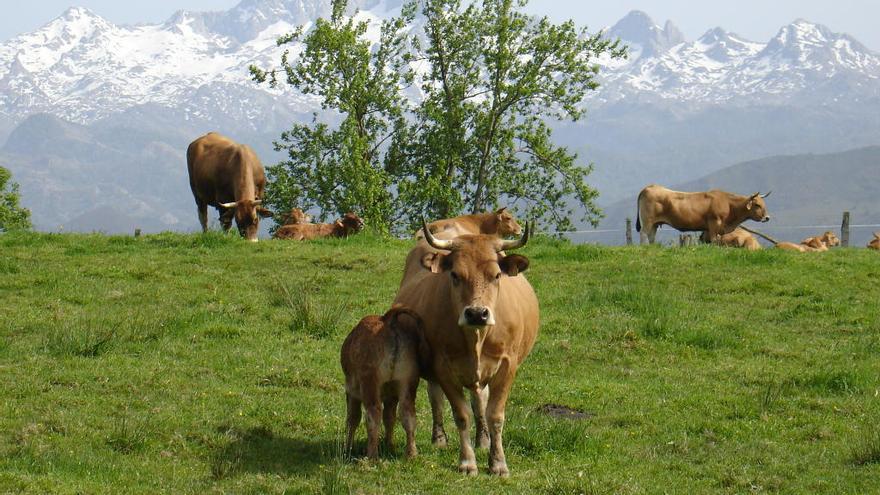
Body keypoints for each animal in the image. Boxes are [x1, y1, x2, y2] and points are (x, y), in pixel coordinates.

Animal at [342, 306, 428, 462]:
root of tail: (387, 320)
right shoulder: (391, 396)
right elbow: (390, 417)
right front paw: (389, 445)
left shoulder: (351, 392)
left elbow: (353, 418)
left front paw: (348, 448)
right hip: (407, 383)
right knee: (408, 415)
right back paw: (411, 454)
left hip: (370, 384)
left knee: (373, 414)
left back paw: (372, 456)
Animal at [396, 224, 540, 476]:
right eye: (455, 275)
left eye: (496, 275)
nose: (476, 313)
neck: (476, 338)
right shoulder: (442, 367)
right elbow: (461, 415)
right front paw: (467, 462)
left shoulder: (507, 366)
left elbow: (495, 415)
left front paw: (498, 462)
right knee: (436, 397)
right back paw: (439, 438)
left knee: (480, 400)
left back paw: (483, 440)